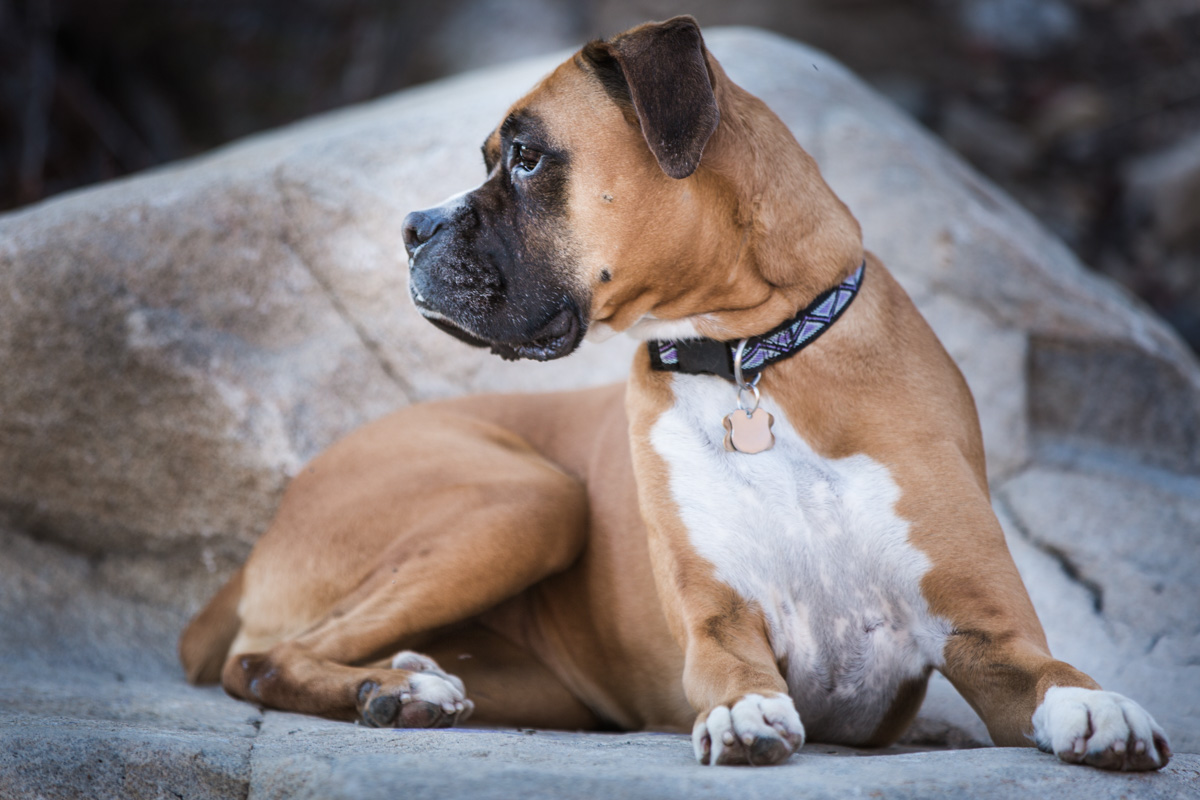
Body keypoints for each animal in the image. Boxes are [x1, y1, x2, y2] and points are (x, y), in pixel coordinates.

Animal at [180, 16, 1171, 770]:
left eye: (527, 159)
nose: (411, 226)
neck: (744, 358)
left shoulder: (987, 636)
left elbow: (1049, 672)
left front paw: (1101, 709)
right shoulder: (719, 624)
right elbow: (732, 675)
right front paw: (742, 716)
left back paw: (405, 681)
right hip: (532, 498)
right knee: (260, 659)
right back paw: (396, 689)